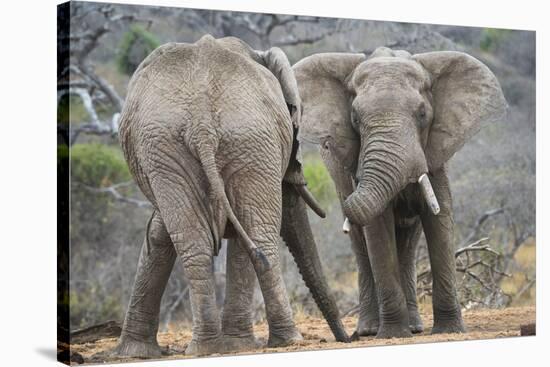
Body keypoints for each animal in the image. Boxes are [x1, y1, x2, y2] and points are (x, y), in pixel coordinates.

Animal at [113, 35, 350, 360]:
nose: (347, 338)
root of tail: (200, 122)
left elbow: (160, 233)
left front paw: (134, 353)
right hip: (235, 141)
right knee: (256, 234)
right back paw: (281, 341)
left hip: (184, 146)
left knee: (200, 241)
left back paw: (210, 346)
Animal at [294, 47, 508, 340]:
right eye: (355, 119)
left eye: (422, 114)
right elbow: (377, 228)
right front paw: (394, 334)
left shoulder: (435, 154)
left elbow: (440, 218)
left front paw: (449, 329)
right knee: (362, 244)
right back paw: (371, 330)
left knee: (408, 240)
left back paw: (415, 327)